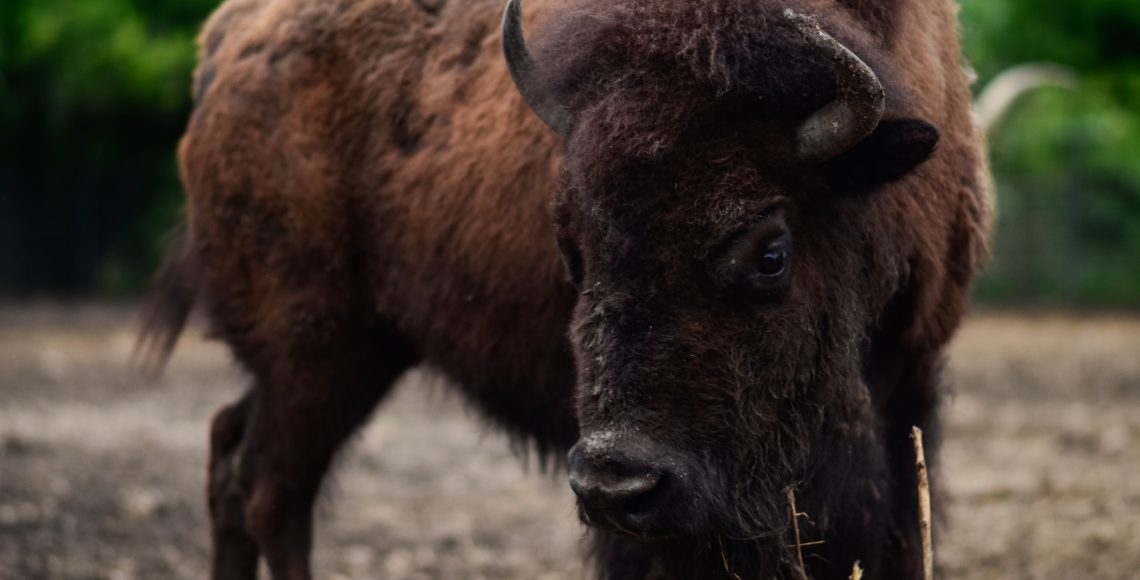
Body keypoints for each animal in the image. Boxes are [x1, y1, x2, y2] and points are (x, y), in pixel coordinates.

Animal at [140, 0, 989, 576]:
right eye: (571, 246)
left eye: (771, 252)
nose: (617, 483)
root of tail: (226, 44)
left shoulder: (907, 389)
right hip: (317, 350)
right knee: (272, 489)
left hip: (348, 356)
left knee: (233, 454)